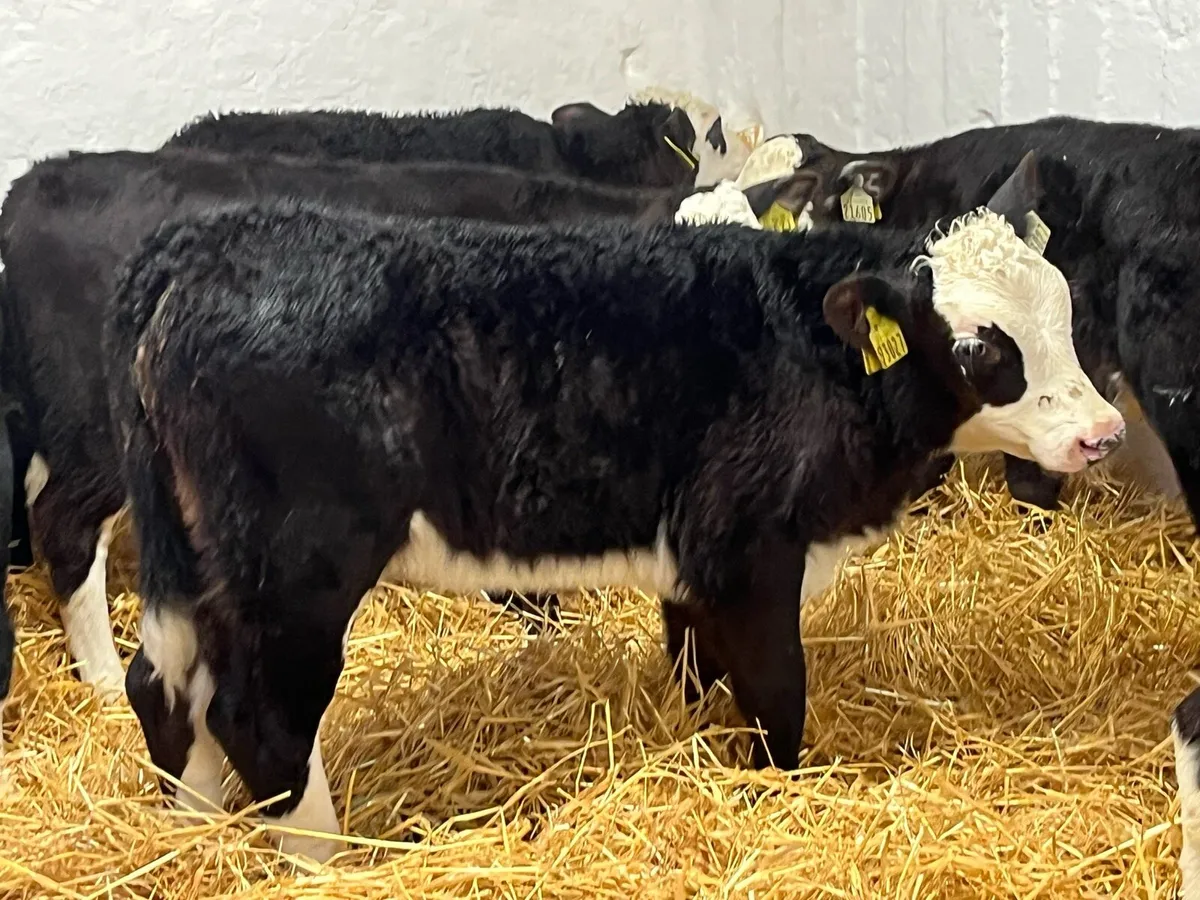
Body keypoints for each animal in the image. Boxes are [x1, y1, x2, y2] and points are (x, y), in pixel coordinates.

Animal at [106, 152, 1124, 861]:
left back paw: (189, 834)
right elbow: (777, 701)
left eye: (1064, 312)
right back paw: (335, 861)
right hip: (298, 569)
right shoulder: (752, 551)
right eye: (981, 347)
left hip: (192, 555)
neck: (805, 344)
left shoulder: (695, 562)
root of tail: (197, 248)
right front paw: (778, 798)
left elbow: (698, 672)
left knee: (165, 685)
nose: (1103, 433)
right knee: (259, 716)